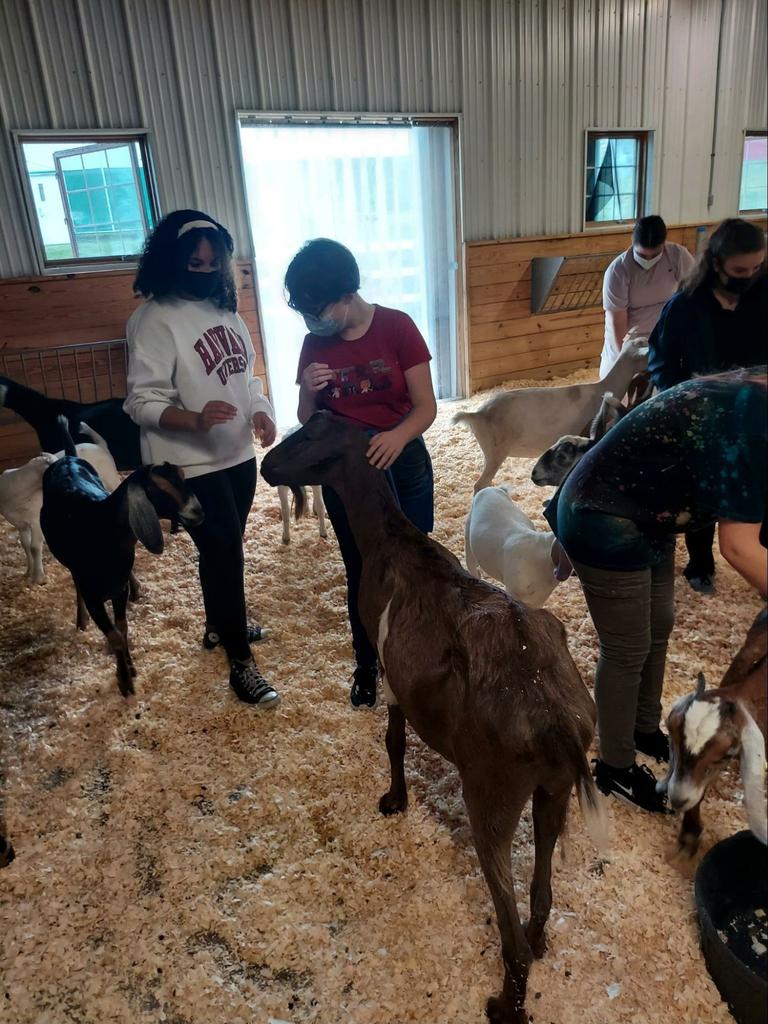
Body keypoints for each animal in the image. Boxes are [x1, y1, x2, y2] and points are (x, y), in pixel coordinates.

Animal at [0, 423, 122, 585]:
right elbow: (25, 545)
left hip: (110, 478)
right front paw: (28, 572)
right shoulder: (20, 524)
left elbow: (34, 547)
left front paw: (38, 577)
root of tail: (100, 445)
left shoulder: (35, 520)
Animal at [40, 421, 204, 696]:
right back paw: (81, 619)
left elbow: (122, 627)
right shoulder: (94, 597)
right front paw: (124, 681)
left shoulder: (119, 589)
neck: (104, 532)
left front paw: (130, 667)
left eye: (183, 477)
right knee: (75, 582)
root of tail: (68, 458)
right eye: (159, 489)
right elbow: (114, 635)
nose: (198, 512)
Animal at [262, 411, 610, 1024]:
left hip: (492, 794)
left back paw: (504, 1003)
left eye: (308, 432)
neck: (394, 540)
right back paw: (540, 938)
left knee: (508, 925)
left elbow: (394, 739)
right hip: (555, 789)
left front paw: (393, 799)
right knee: (542, 888)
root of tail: (558, 723)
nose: (264, 466)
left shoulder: (389, 668)